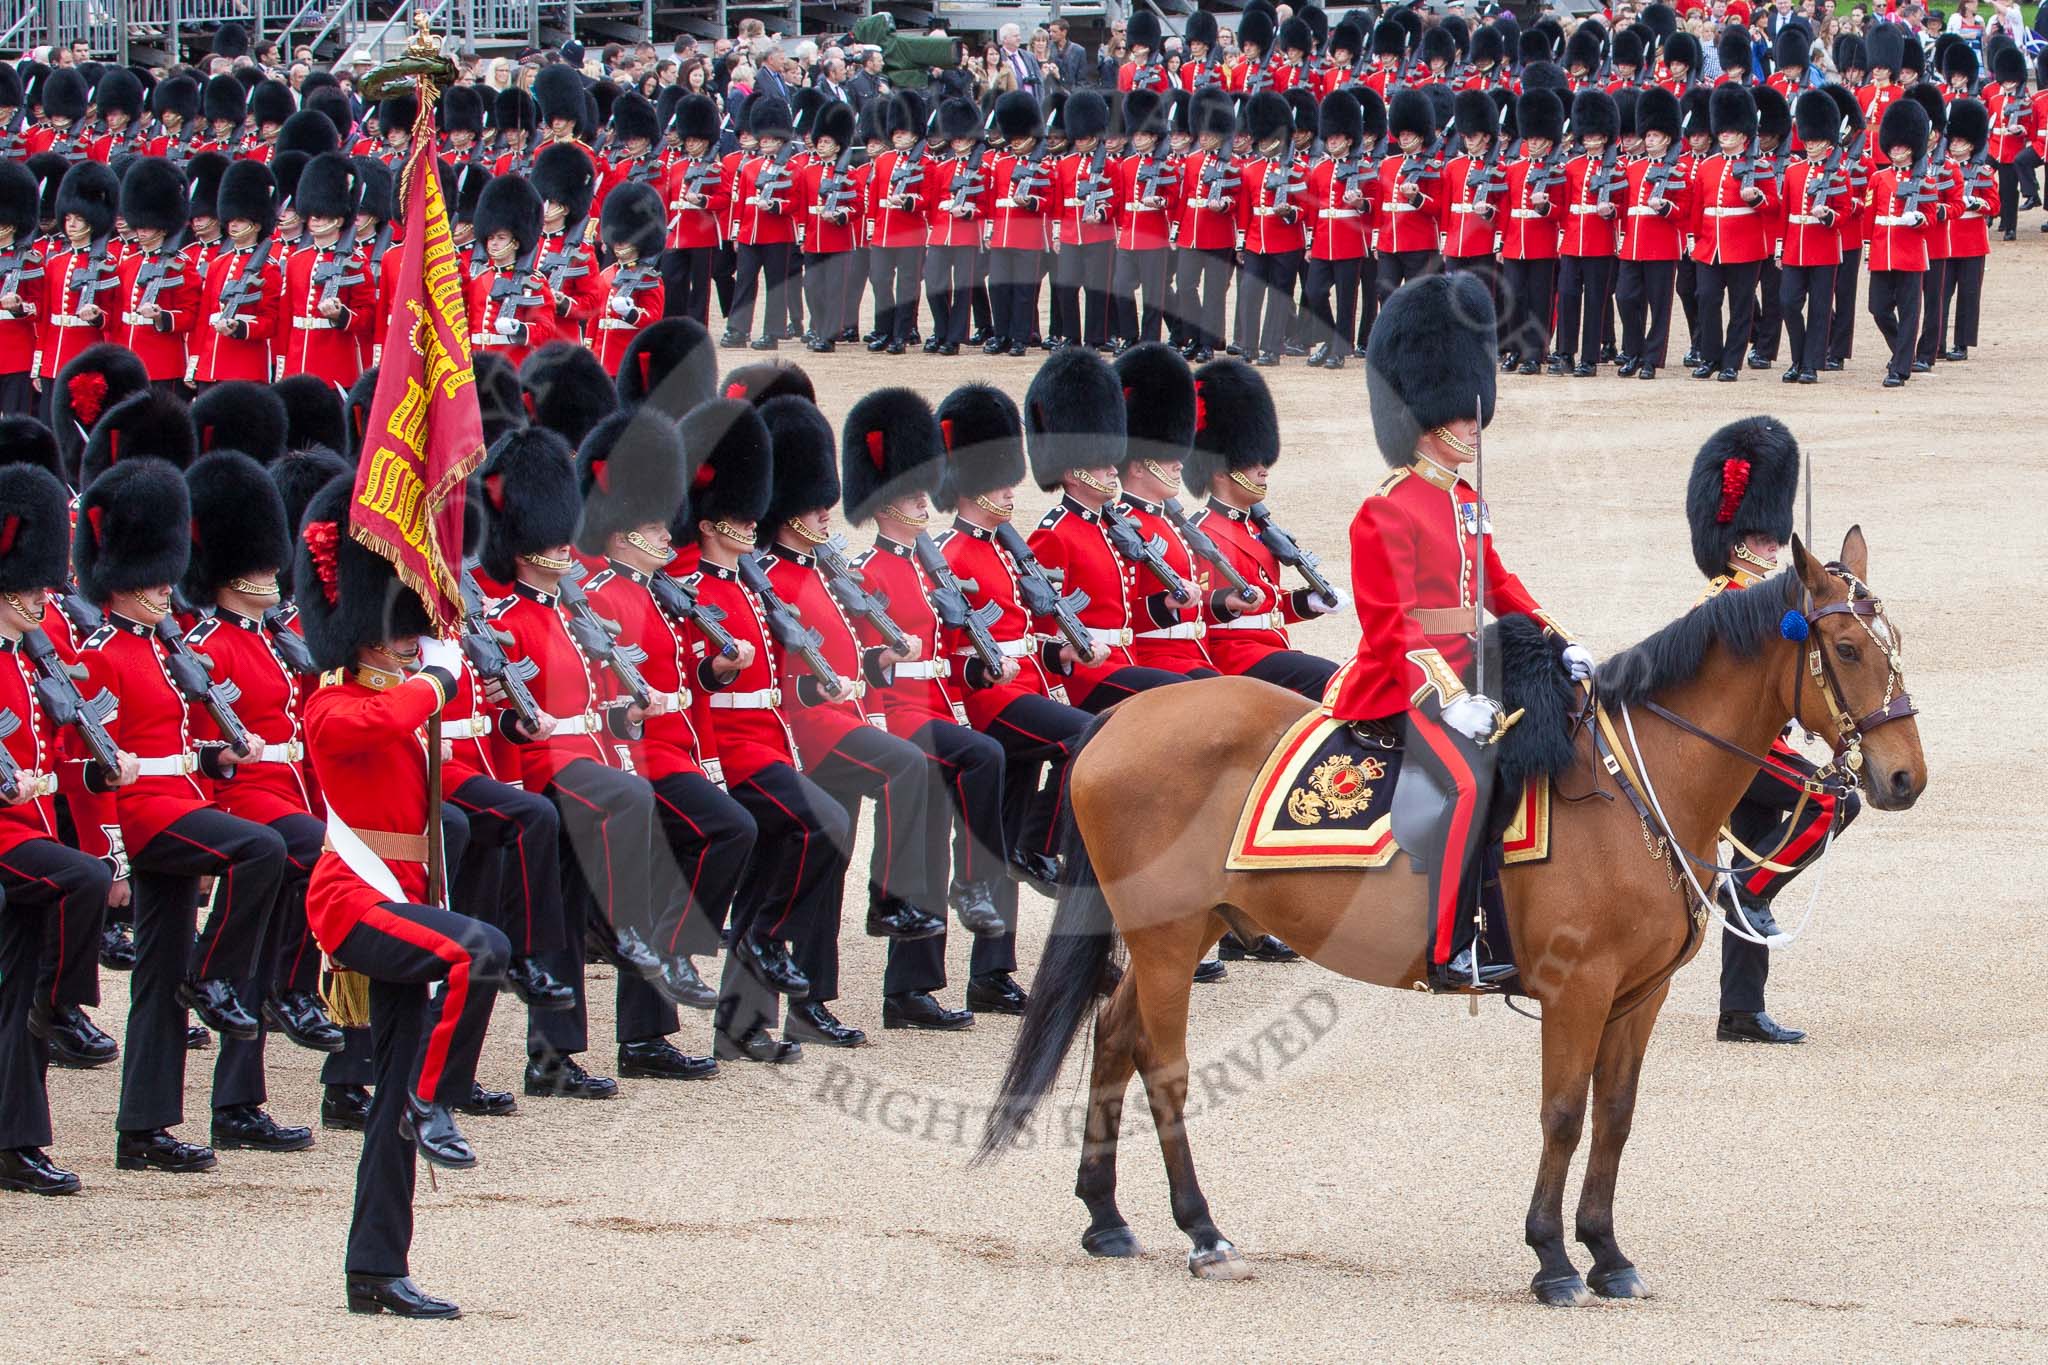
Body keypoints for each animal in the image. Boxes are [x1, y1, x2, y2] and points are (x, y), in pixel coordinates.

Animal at [983, 532, 1925, 1301]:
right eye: (1846, 647)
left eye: (1896, 646)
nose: (1904, 777)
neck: (1640, 781)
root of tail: (1120, 715)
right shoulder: (1578, 988)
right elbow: (1563, 1112)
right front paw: (1552, 1259)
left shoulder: (1638, 994)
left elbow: (1616, 1116)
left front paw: (1607, 1252)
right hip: (1169, 933)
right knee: (1164, 1062)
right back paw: (1203, 1231)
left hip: (1195, 922)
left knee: (1113, 1033)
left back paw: (1107, 1216)